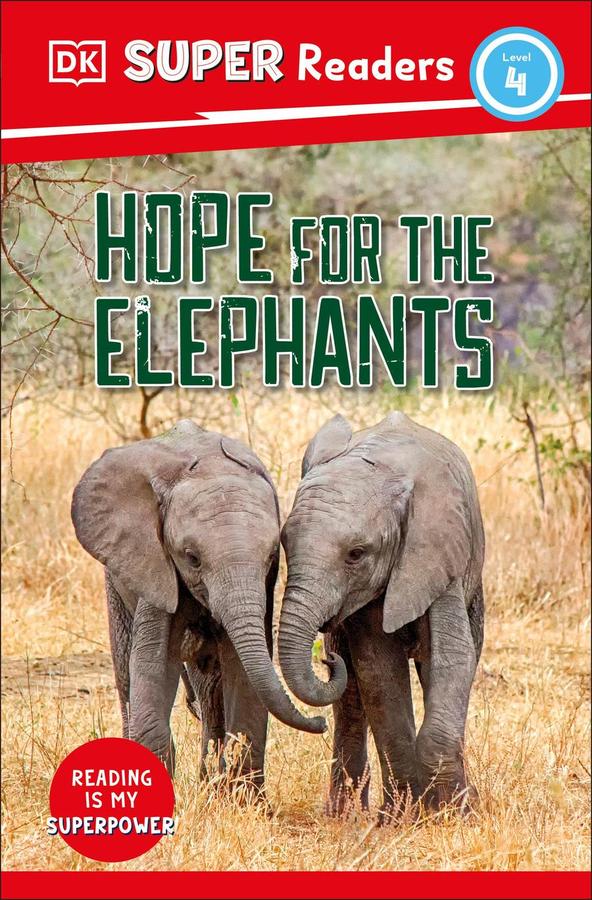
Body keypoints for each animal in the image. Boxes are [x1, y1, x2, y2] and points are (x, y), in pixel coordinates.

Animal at [71, 419, 325, 793]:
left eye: (270, 556)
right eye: (191, 558)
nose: (322, 722)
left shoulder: (263, 586)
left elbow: (242, 670)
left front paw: (245, 800)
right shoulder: (155, 561)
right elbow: (154, 663)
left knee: (209, 686)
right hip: (116, 577)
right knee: (127, 671)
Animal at [278, 411, 485, 819]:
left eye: (356, 554)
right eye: (283, 542)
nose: (328, 659)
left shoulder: (438, 554)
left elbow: (453, 659)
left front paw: (453, 815)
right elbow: (378, 672)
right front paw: (404, 816)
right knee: (350, 701)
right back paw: (345, 815)